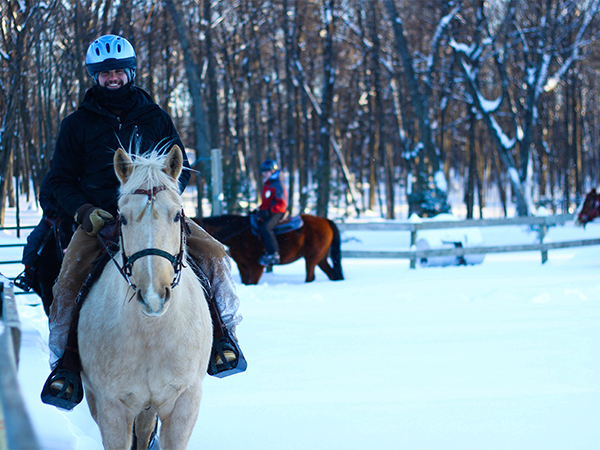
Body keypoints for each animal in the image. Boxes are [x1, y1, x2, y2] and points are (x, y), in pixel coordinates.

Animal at [77, 146, 212, 448]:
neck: (151, 334)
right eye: (123, 218)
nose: (153, 296)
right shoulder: (110, 407)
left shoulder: (185, 402)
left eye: (177, 216)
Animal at [192, 214, 342, 284]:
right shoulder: (243, 266)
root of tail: (326, 220)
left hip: (312, 258)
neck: (239, 234)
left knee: (311, 276)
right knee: (332, 274)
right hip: (321, 258)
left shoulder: (256, 266)